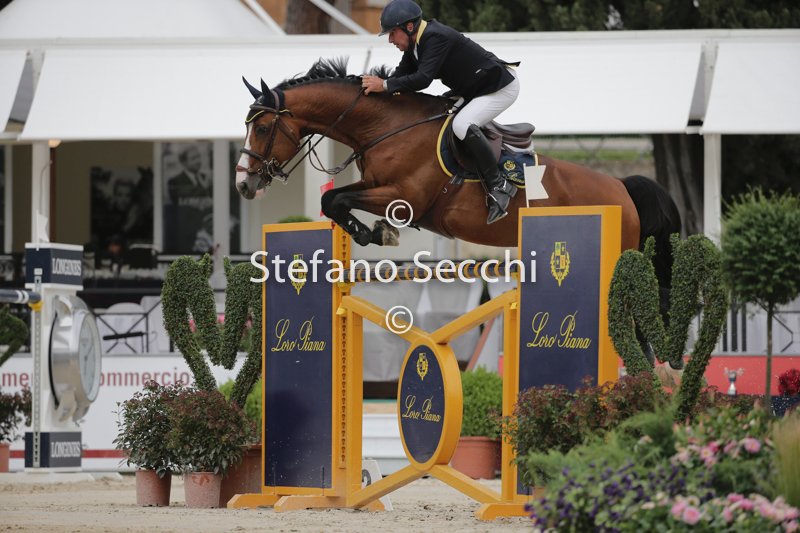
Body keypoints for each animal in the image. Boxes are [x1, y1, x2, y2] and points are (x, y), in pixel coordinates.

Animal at [235, 58, 681, 293]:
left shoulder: (405, 198)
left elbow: (337, 199)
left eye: (263, 127)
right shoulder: (377, 185)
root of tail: (621, 187)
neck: (384, 125)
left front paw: (377, 233)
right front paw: (374, 233)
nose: (244, 183)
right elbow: (332, 199)